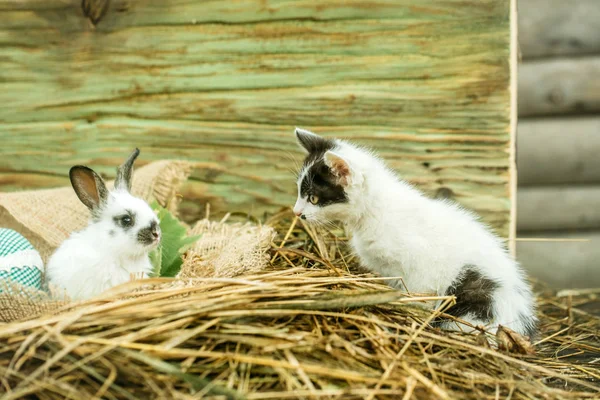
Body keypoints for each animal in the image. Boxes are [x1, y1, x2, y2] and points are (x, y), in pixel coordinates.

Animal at [292, 128, 536, 338]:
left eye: (313, 198)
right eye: (300, 193)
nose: (296, 212)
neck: (374, 210)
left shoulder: (421, 267)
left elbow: (420, 293)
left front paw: (413, 313)